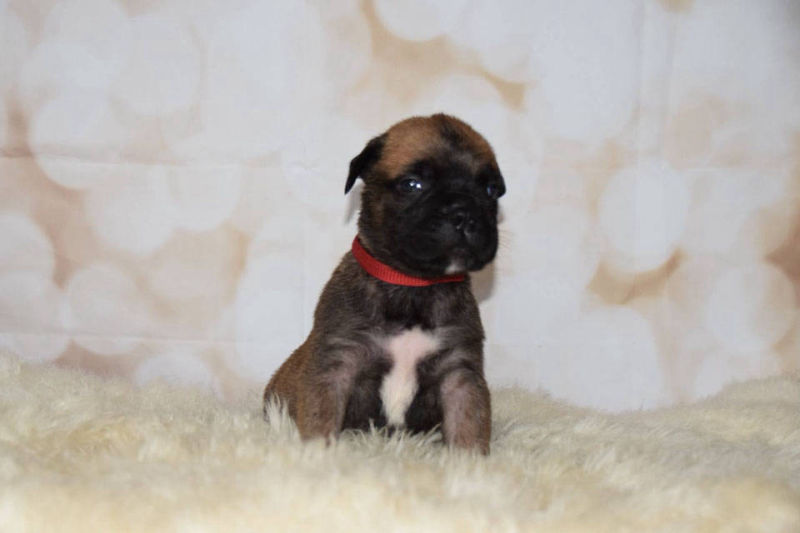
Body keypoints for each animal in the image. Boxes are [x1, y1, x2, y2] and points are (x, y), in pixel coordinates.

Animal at [263, 113, 505, 454]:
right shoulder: (336, 365)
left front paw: (468, 462)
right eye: (412, 185)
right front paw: (319, 456)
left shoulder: (460, 374)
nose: (464, 214)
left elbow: (469, 423)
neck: (414, 284)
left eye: (490, 190)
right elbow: (321, 418)